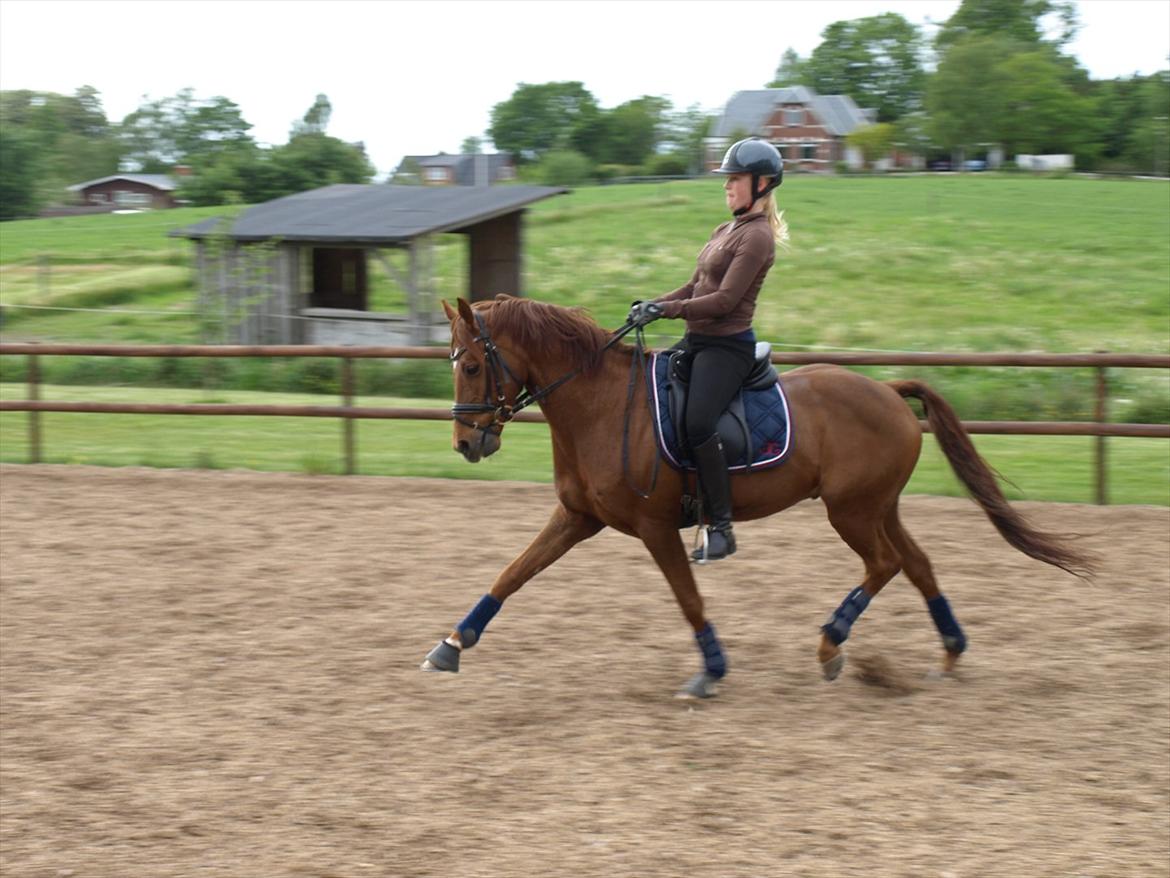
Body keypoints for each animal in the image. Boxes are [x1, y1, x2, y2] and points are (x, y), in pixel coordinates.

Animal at [421, 295, 1092, 698]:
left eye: (473, 367)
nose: (465, 443)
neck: (603, 405)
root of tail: (888, 391)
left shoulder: (656, 528)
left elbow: (689, 600)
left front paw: (711, 671)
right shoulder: (577, 517)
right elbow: (513, 573)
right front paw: (450, 645)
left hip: (851, 511)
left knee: (886, 564)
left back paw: (830, 644)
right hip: (878, 506)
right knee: (917, 563)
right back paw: (949, 651)